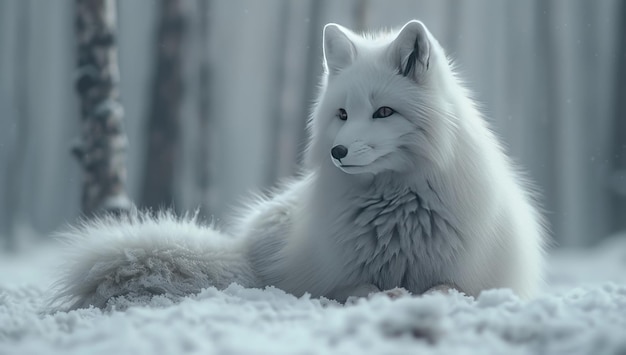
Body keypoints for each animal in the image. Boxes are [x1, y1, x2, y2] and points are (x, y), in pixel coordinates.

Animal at [51, 20, 544, 312]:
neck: (398, 211)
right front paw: (386, 296)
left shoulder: (476, 280)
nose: (338, 153)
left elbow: (447, 289)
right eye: (342, 114)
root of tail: (241, 248)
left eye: (383, 112)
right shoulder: (335, 281)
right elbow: (359, 290)